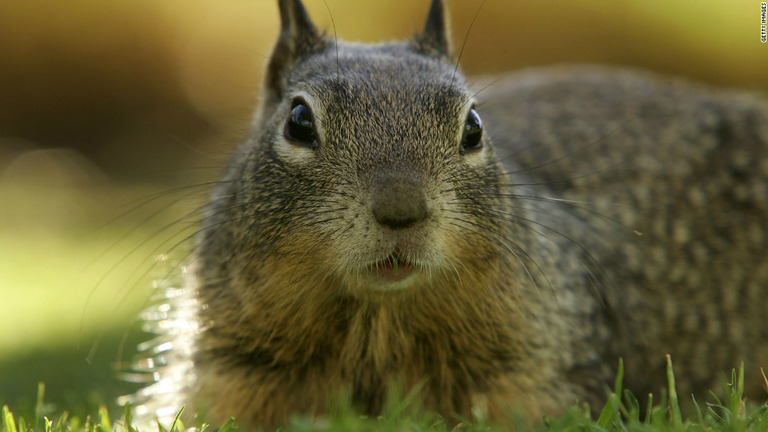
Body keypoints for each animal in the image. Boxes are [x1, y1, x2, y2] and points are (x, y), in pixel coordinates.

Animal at [123, 0, 768, 428]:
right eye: (299, 122)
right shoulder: (227, 373)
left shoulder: (533, 375)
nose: (401, 211)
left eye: (474, 127)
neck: (376, 325)